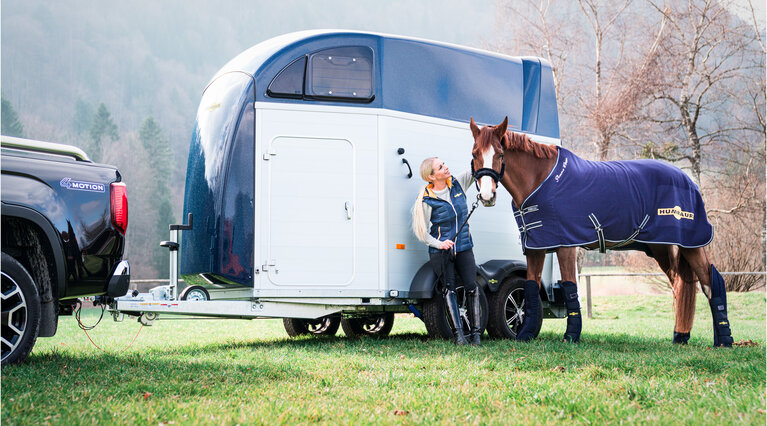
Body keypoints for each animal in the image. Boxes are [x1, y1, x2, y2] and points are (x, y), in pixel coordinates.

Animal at [472, 117, 736, 346]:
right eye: (475, 154)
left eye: (500, 154)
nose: (486, 196)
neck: (541, 180)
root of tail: (689, 181)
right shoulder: (536, 247)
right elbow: (530, 288)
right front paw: (525, 335)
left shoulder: (565, 244)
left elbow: (570, 288)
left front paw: (571, 336)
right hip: (661, 248)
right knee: (681, 284)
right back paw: (680, 337)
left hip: (692, 244)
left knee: (711, 282)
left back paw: (724, 340)